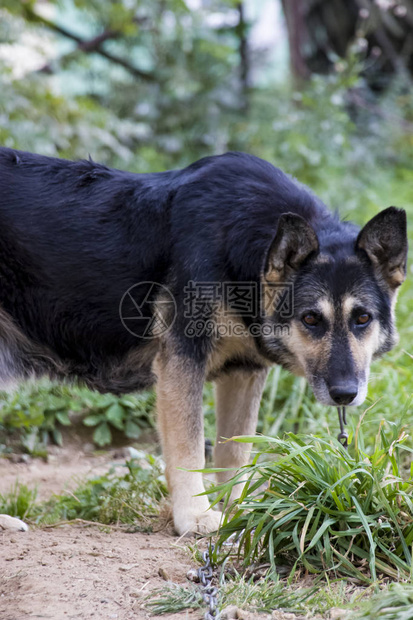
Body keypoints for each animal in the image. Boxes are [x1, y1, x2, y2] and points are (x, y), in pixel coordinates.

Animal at [0, 148, 408, 536]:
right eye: (310, 319)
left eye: (362, 319)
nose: (345, 394)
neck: (241, 250)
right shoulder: (182, 362)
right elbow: (190, 447)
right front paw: (195, 516)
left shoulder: (244, 372)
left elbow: (235, 454)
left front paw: (238, 513)